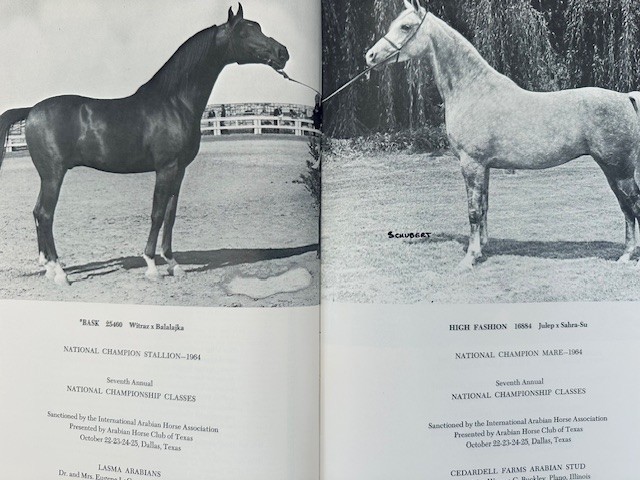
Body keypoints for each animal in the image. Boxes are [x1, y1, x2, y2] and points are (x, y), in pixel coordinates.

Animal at [0, 4, 289, 285]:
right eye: (244, 32)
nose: (282, 52)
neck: (174, 101)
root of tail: (32, 110)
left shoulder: (179, 170)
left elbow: (171, 215)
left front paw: (173, 264)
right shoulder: (166, 168)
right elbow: (157, 214)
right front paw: (151, 266)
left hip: (47, 176)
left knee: (37, 212)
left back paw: (48, 267)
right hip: (53, 175)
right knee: (45, 215)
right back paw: (60, 272)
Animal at [366, 0, 640, 269]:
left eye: (405, 26)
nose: (370, 56)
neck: (473, 90)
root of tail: (626, 97)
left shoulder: (471, 163)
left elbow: (473, 211)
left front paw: (470, 258)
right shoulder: (484, 166)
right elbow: (484, 206)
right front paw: (482, 247)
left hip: (619, 170)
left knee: (632, 204)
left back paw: (627, 255)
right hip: (613, 171)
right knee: (626, 207)